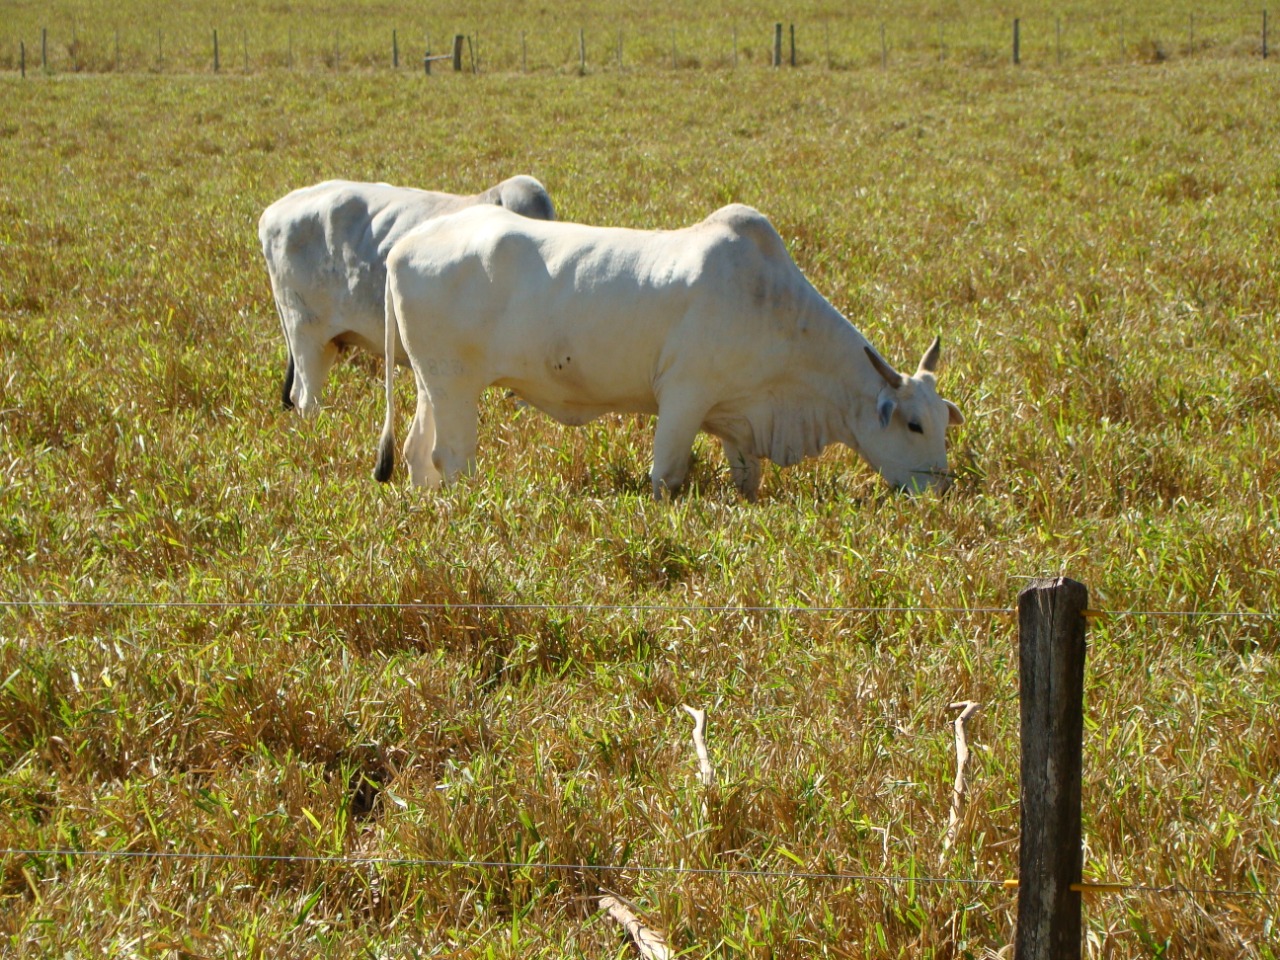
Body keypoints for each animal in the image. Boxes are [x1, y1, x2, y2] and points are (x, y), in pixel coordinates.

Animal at [373, 204, 962, 504]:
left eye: (943, 423)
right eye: (913, 425)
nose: (940, 487)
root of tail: (405, 246)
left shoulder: (737, 416)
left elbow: (746, 478)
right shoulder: (684, 397)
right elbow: (667, 475)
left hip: (433, 384)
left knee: (417, 451)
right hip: (454, 386)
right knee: (452, 458)